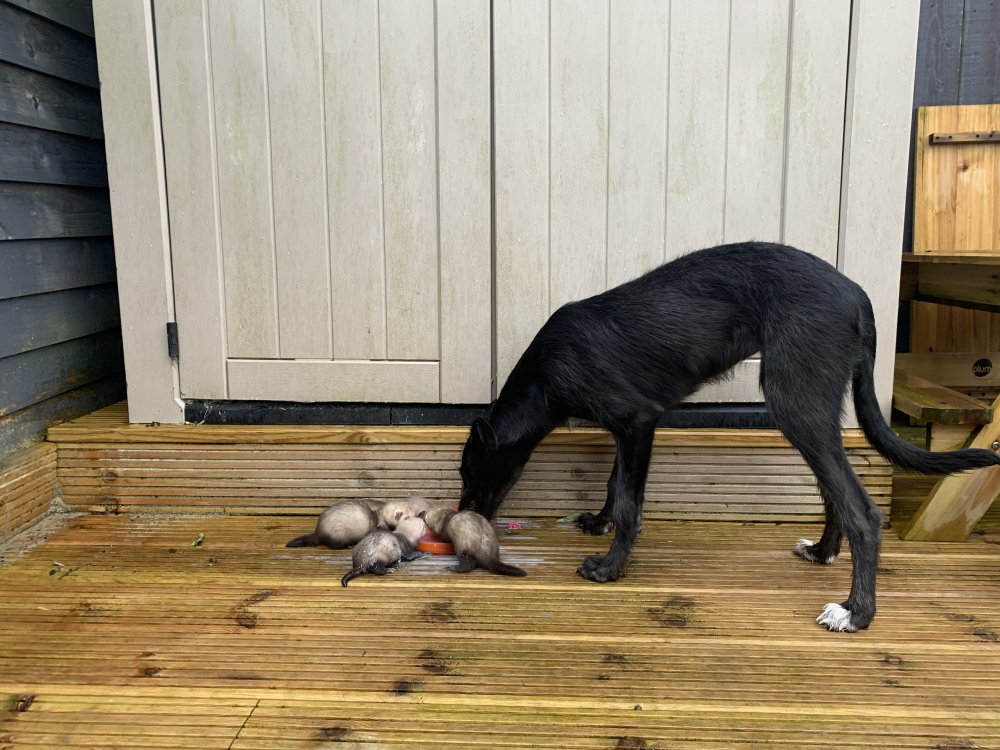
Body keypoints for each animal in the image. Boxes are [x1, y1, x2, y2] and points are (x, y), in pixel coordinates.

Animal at [457, 242, 1000, 632]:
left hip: (794, 401)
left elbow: (631, 501)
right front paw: (598, 520)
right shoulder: (628, 429)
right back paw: (823, 552)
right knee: (835, 492)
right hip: (813, 407)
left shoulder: (637, 420)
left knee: (862, 510)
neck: (546, 375)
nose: (465, 521)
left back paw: (856, 611)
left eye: (469, 473)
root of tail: (857, 294)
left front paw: (610, 568)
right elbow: (615, 484)